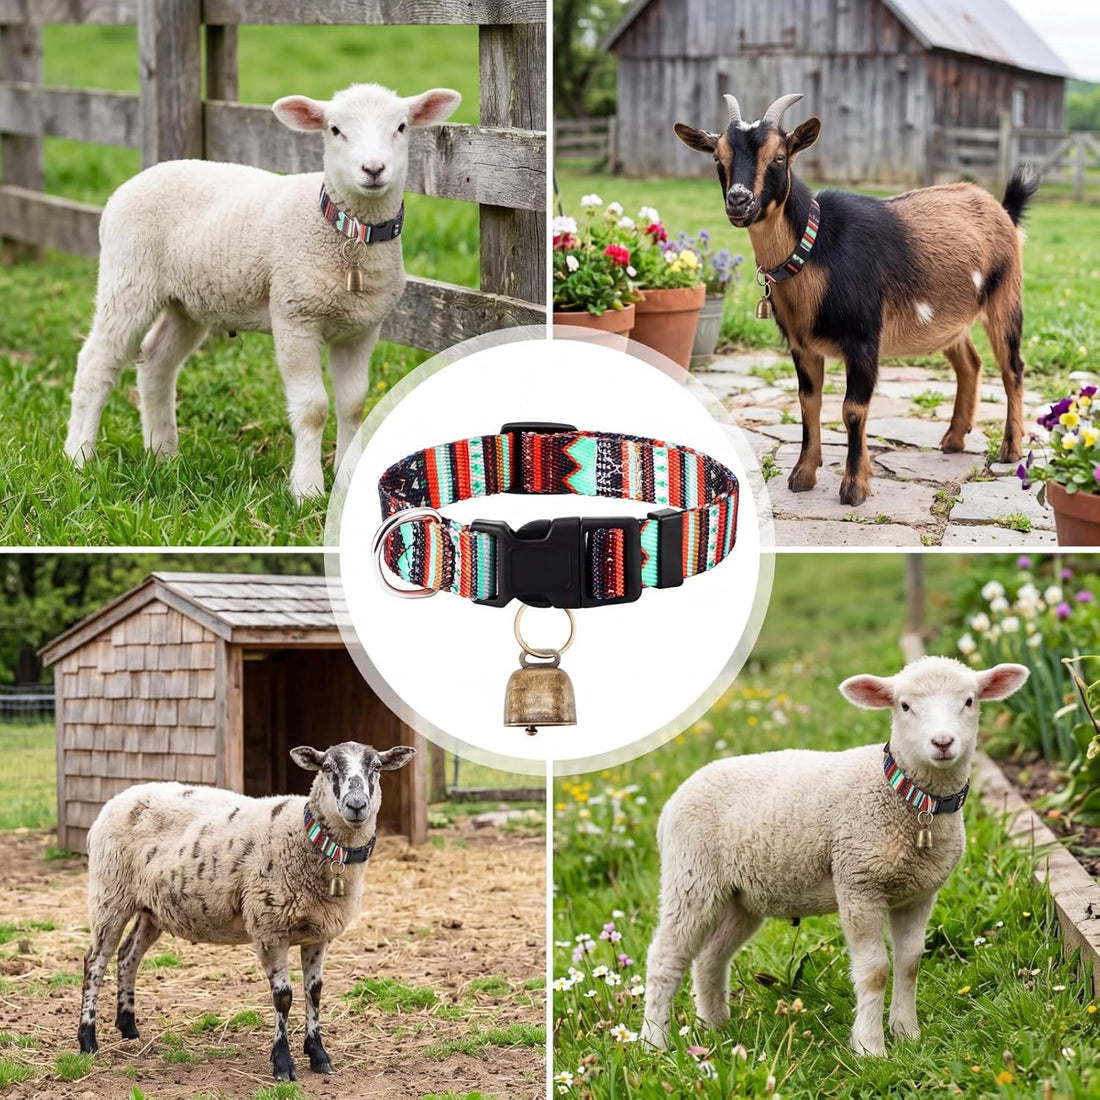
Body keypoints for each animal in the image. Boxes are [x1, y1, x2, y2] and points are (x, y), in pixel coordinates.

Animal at [63, 83, 461, 502]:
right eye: (335, 129)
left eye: (401, 127)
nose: (373, 169)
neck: (348, 234)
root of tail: (130, 184)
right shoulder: (294, 317)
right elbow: (313, 408)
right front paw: (307, 489)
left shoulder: (362, 330)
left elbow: (353, 404)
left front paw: (348, 476)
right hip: (129, 278)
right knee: (96, 362)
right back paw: (79, 457)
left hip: (186, 302)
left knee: (157, 362)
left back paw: (163, 454)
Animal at [77, 741, 416, 1081]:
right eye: (328, 767)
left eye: (376, 768)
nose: (356, 805)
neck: (307, 837)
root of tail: (118, 799)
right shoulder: (269, 929)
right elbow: (283, 997)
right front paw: (283, 1063)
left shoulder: (318, 934)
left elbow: (315, 992)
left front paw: (318, 1054)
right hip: (110, 893)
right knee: (95, 961)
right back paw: (87, 1040)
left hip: (150, 909)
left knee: (128, 956)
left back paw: (129, 1027)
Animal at [640, 656, 1028, 1056]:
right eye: (904, 706)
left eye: (969, 701)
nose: (943, 742)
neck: (908, 799)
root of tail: (673, 800)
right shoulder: (858, 884)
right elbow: (875, 970)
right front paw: (871, 1048)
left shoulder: (918, 894)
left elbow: (909, 963)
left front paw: (908, 1034)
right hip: (691, 876)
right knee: (665, 958)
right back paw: (655, 1042)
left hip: (740, 897)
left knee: (710, 958)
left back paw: (714, 1026)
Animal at [675, 93, 1039, 506]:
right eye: (718, 158)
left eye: (779, 156)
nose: (739, 201)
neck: (816, 247)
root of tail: (1003, 210)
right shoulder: (801, 346)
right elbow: (808, 402)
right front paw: (803, 475)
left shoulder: (864, 339)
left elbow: (852, 409)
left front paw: (854, 487)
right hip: (950, 319)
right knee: (970, 364)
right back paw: (953, 438)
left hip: (1005, 296)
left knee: (1012, 367)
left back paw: (1010, 448)